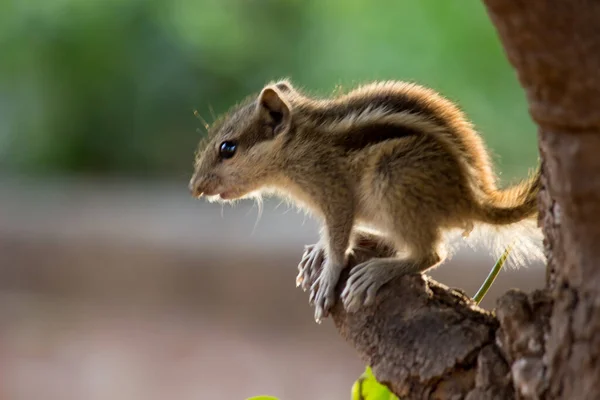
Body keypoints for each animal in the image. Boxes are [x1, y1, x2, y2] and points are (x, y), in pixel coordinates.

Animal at [189, 79, 544, 324]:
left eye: (228, 149)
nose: (195, 187)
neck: (298, 144)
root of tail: (473, 201)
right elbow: (332, 236)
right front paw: (318, 251)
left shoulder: (335, 194)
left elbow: (338, 238)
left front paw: (328, 275)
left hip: (394, 178)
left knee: (431, 254)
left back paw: (376, 271)